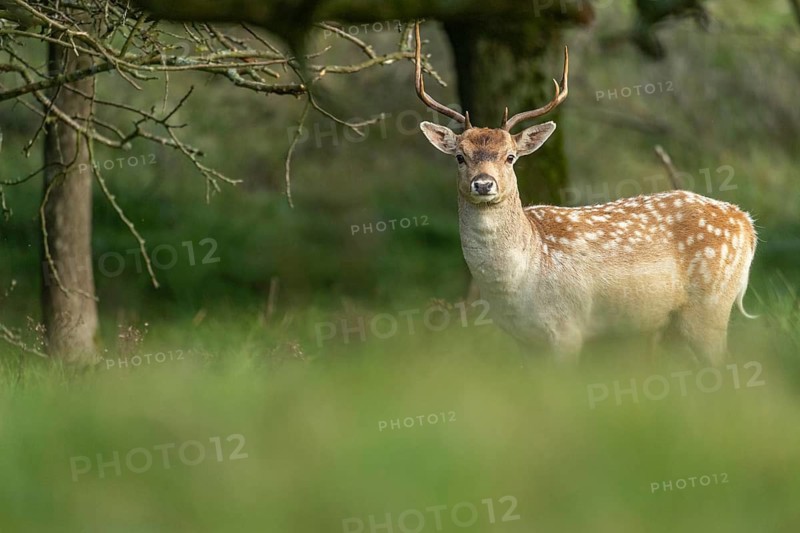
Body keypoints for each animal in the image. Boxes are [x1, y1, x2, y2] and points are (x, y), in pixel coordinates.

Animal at [413, 22, 757, 365]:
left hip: (710, 305)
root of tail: (746, 223)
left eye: (510, 157)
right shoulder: (524, 340)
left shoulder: (567, 329)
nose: (483, 184)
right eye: (460, 156)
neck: (518, 283)